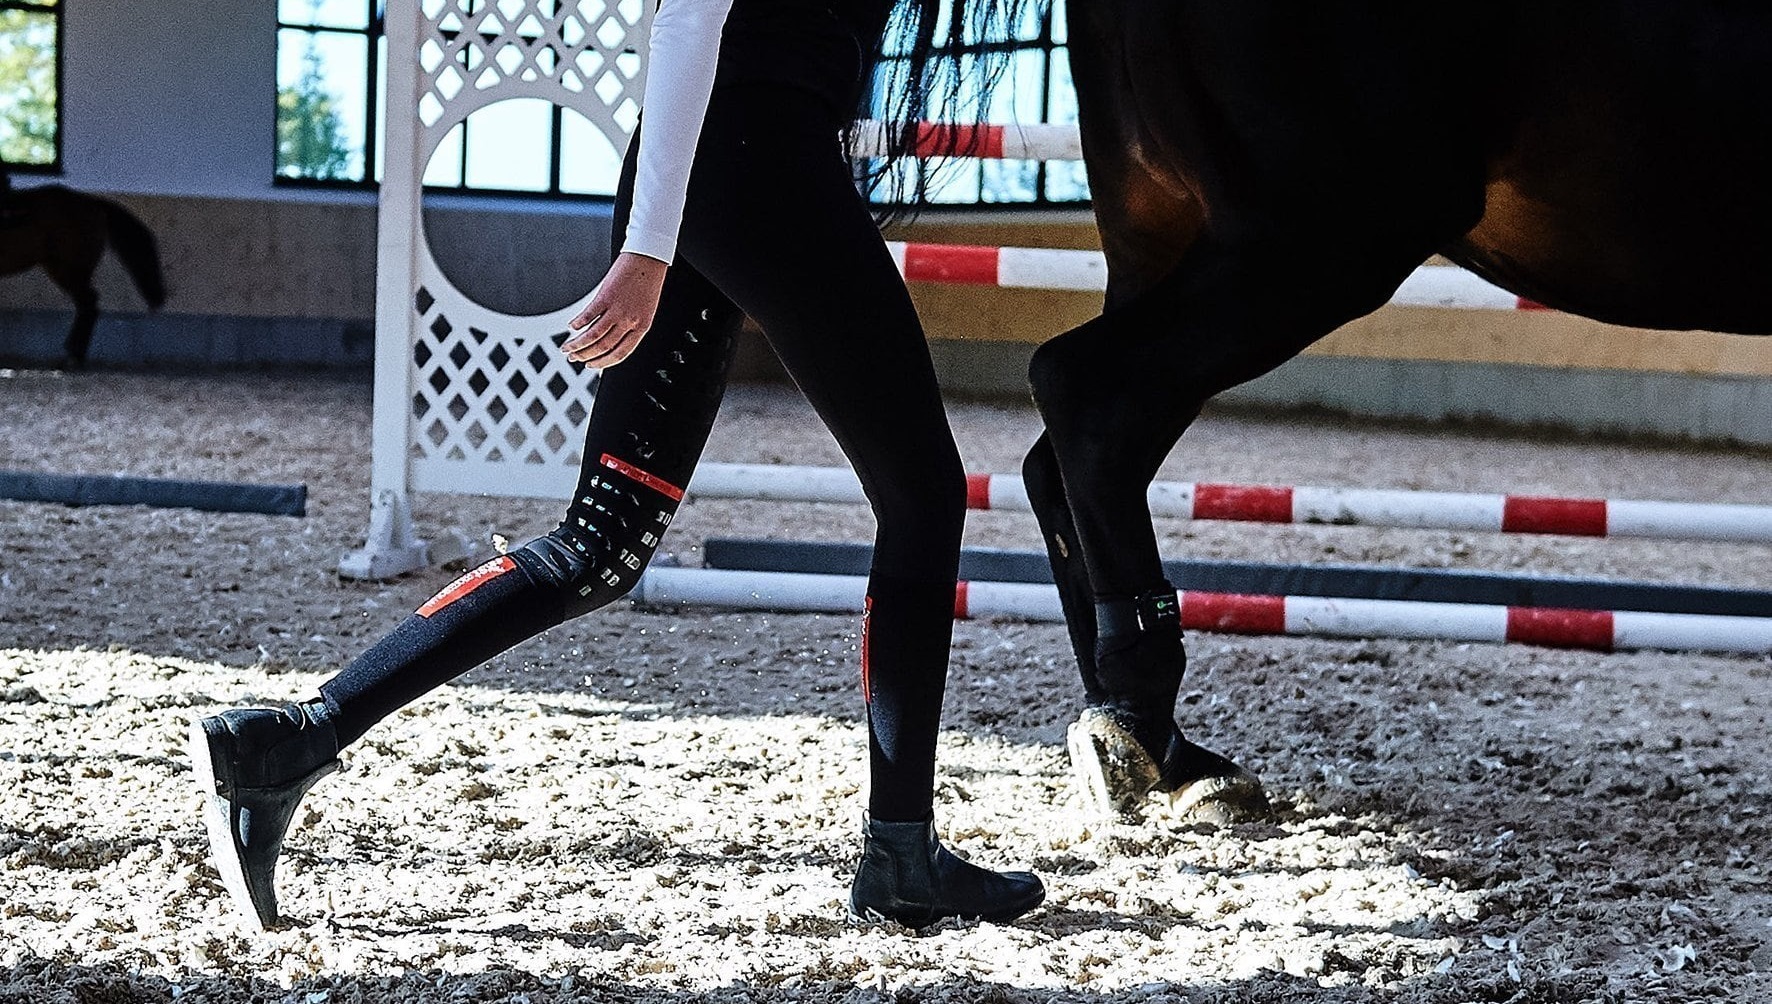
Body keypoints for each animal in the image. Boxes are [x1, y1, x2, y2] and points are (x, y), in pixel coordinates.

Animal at [1025, 3, 1772, 821]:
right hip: (1311, 249)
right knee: (1089, 395)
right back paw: (1141, 723)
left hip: (1163, 237)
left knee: (1065, 453)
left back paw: (1151, 739)